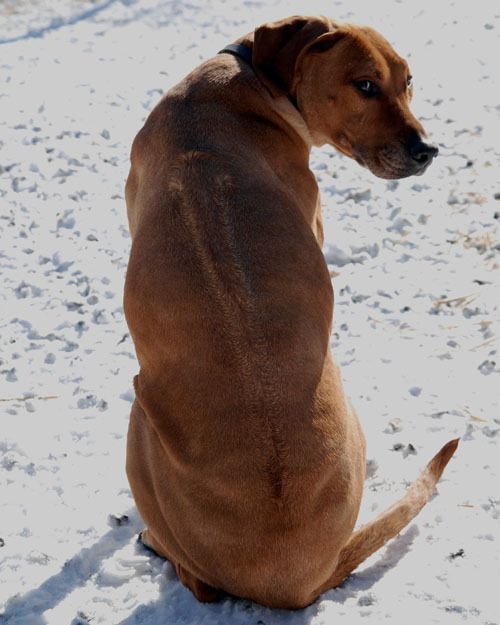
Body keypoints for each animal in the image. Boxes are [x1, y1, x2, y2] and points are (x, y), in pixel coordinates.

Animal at [123, 17, 458, 608]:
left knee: (193, 578)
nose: (428, 149)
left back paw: (154, 542)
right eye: (365, 85)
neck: (249, 84)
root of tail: (296, 581)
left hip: (139, 416)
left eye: (409, 80)